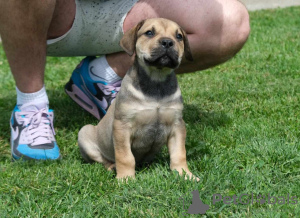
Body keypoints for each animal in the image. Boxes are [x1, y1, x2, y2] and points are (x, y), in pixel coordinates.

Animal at [78, 17, 198, 180]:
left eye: (179, 36)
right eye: (149, 33)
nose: (167, 42)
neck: (156, 81)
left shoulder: (177, 125)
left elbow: (179, 153)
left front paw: (185, 174)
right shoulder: (122, 126)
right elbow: (125, 156)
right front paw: (126, 179)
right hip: (84, 133)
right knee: (102, 160)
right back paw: (112, 167)